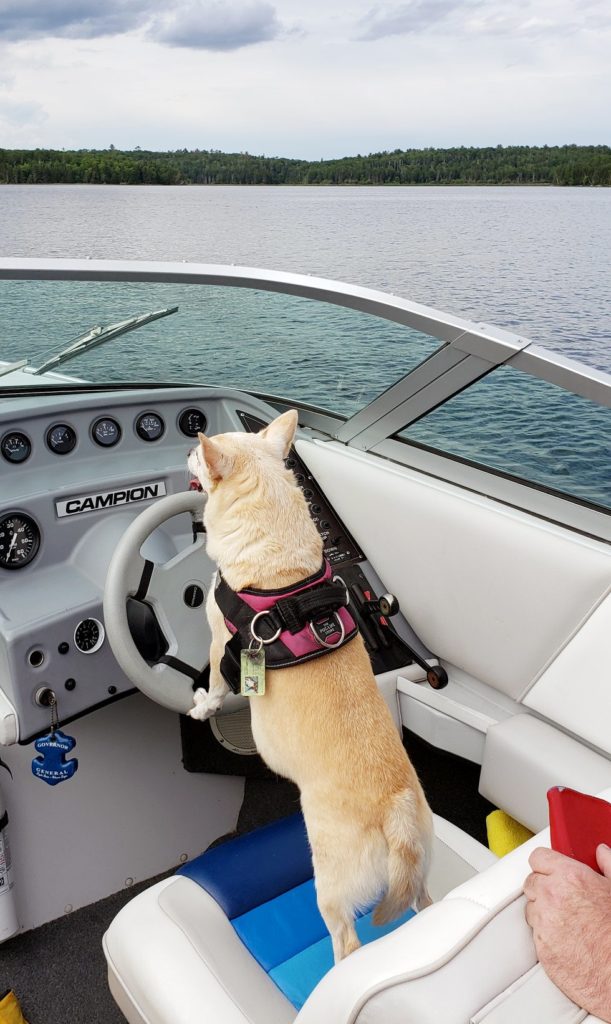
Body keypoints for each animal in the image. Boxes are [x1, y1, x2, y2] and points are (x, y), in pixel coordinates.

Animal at [188, 407, 431, 958]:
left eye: (201, 450)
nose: (186, 445)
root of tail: (398, 813)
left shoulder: (218, 643)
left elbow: (216, 686)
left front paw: (201, 705)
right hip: (422, 870)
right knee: (425, 903)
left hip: (330, 886)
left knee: (346, 940)